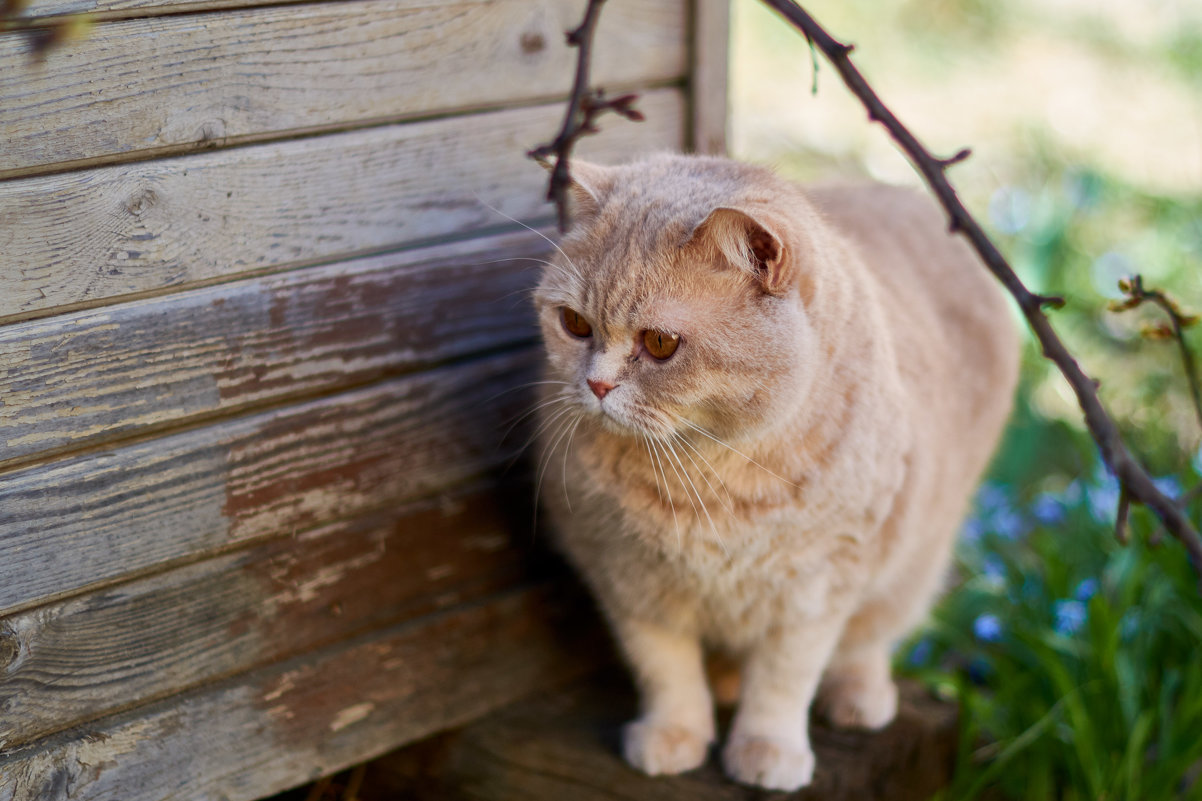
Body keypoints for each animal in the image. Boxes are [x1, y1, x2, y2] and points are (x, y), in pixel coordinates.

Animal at [533, 152, 1014, 788]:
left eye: (659, 343)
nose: (596, 385)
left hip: (912, 563)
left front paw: (766, 749)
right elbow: (665, 670)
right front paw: (674, 734)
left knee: (868, 640)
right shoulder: (627, 581)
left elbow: (784, 680)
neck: (705, 470)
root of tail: (905, 195)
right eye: (575, 325)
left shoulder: (817, 589)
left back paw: (857, 698)